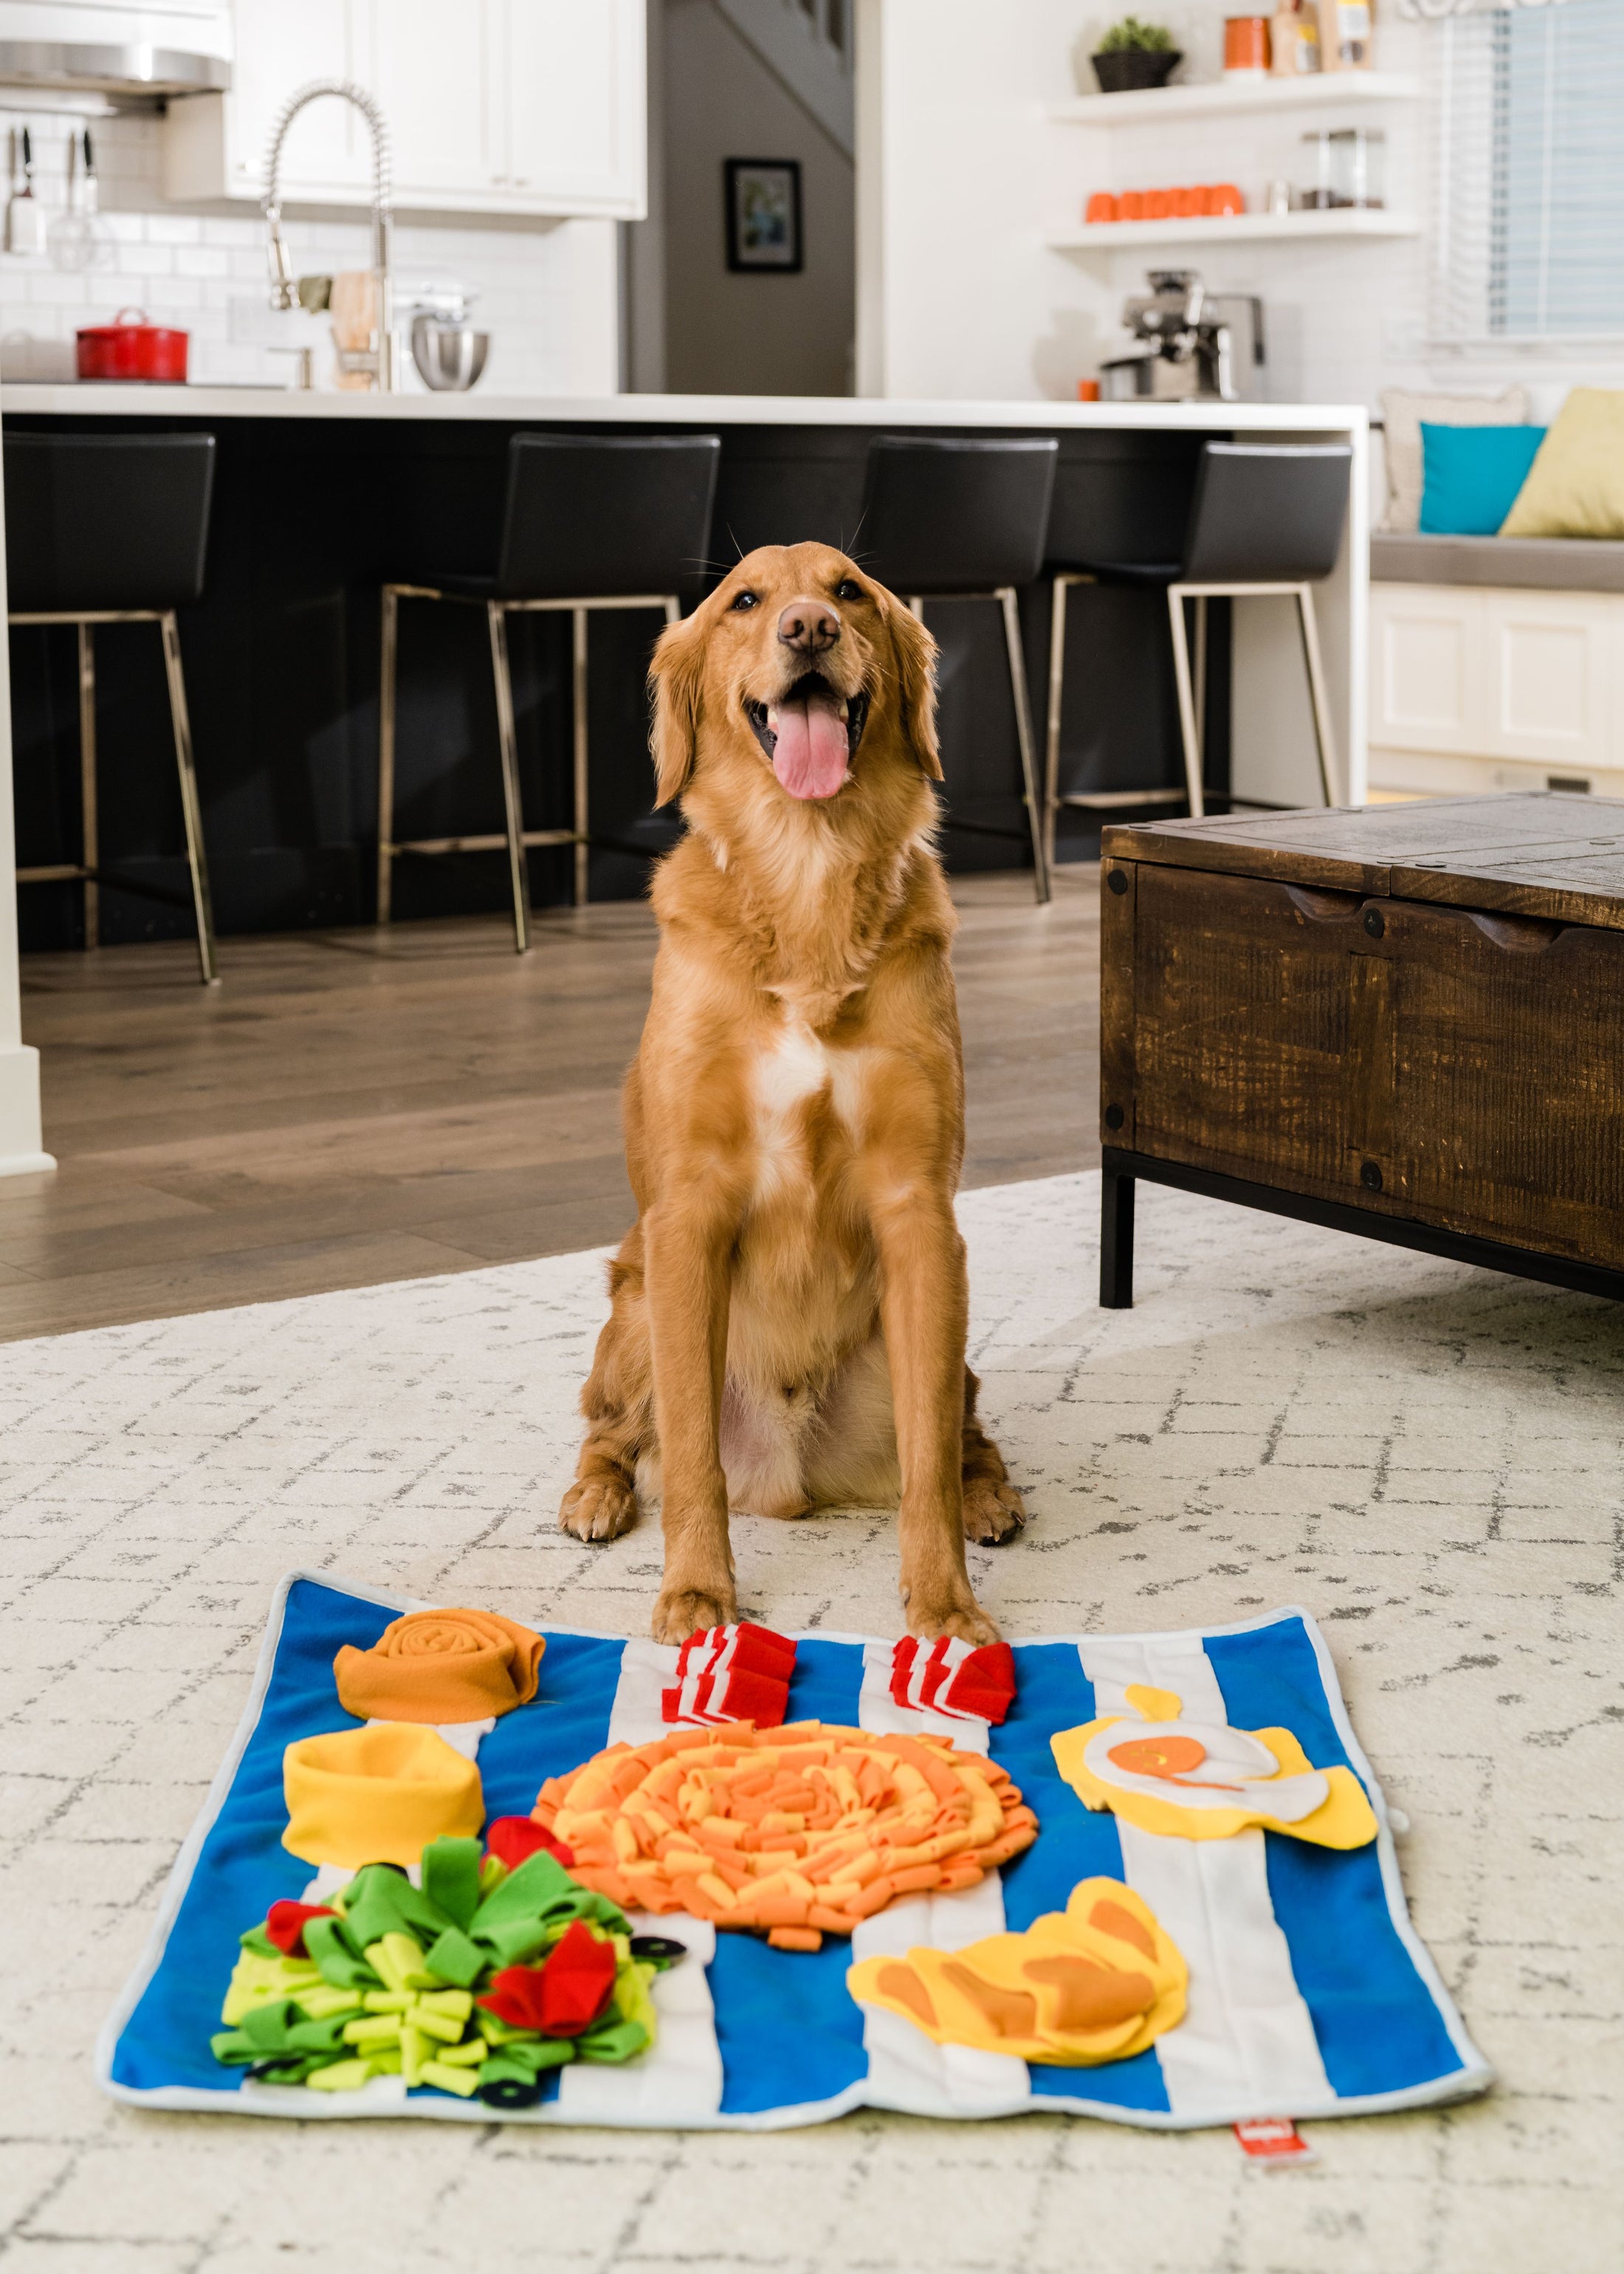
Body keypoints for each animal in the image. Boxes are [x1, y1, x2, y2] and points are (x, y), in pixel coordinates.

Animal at [564, 536, 1023, 1637]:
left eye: (848, 591)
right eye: (744, 601)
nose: (808, 627)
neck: (807, 870)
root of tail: (787, 1479)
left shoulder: (920, 1215)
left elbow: (926, 1470)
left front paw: (944, 1607)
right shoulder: (687, 1217)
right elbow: (689, 1454)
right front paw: (698, 1594)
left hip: (935, 1341)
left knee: (962, 1434)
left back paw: (992, 1497)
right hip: (634, 1310)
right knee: (612, 1432)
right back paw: (594, 1496)